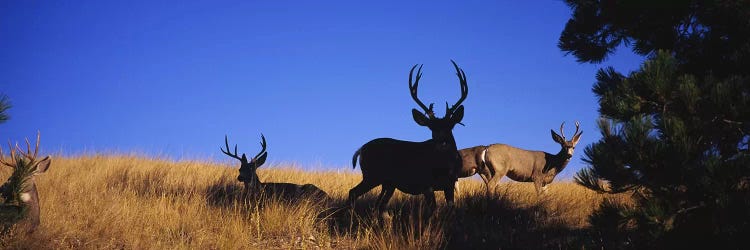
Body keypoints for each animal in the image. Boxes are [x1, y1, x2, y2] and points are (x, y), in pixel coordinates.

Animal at [348, 60, 468, 211]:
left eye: (450, 126)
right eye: (431, 128)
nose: (441, 142)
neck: (446, 166)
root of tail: (361, 149)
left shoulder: (450, 184)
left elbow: (450, 208)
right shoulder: (426, 183)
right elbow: (432, 209)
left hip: (388, 183)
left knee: (379, 205)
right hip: (372, 175)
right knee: (353, 192)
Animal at [458, 122, 588, 196]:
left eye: (574, 147)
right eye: (563, 146)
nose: (569, 155)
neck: (552, 164)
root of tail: (487, 148)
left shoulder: (545, 183)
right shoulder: (537, 176)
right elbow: (539, 195)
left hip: (488, 170)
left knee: (489, 185)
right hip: (500, 169)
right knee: (491, 185)